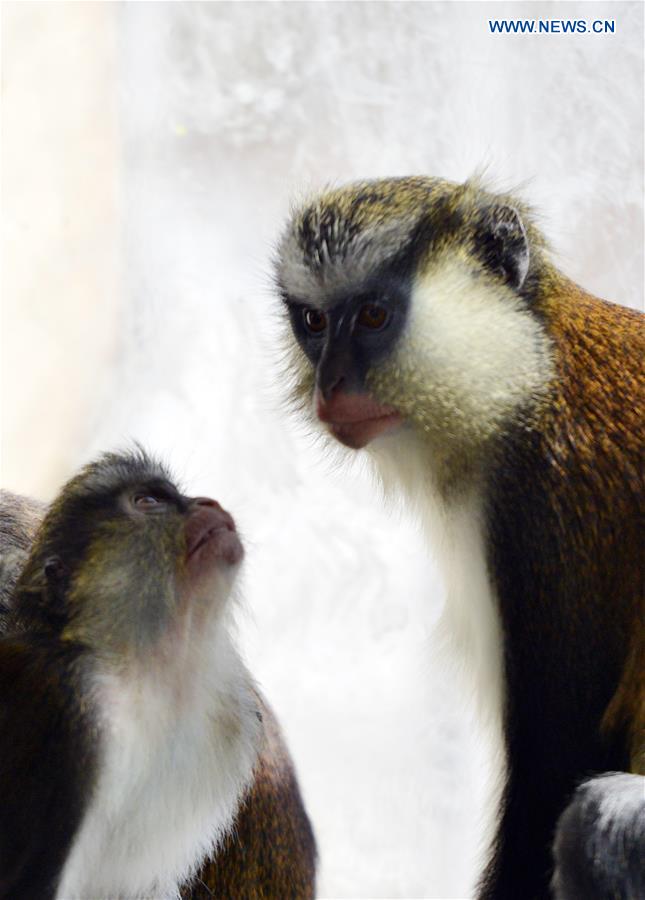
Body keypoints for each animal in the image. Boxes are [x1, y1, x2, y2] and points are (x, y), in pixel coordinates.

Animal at [272, 178, 644, 900]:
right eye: (313, 323)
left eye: (372, 318)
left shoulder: (544, 512)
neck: (533, 375)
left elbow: (553, 774)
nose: (330, 384)